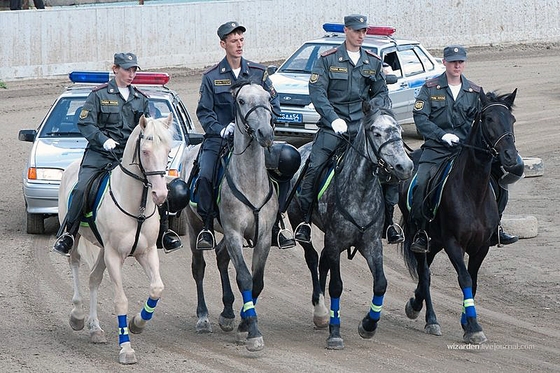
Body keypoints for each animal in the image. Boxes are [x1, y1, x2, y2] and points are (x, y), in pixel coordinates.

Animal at [57, 113, 173, 364]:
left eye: (168, 150)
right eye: (146, 151)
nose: (160, 194)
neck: (137, 206)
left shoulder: (146, 252)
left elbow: (156, 288)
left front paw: (138, 322)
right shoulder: (114, 255)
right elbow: (121, 300)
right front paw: (126, 349)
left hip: (102, 248)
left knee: (93, 279)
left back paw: (95, 329)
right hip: (76, 237)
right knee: (74, 263)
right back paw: (77, 316)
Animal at [182, 80, 278, 350]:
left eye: (268, 97)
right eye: (241, 101)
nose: (265, 134)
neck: (251, 182)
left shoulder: (264, 237)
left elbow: (258, 280)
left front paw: (245, 321)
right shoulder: (234, 233)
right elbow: (244, 278)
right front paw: (253, 332)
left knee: (221, 257)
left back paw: (227, 313)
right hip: (194, 226)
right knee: (199, 267)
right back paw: (203, 318)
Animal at [286, 99, 414, 348]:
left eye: (400, 132)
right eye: (376, 132)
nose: (405, 166)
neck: (360, 192)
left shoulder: (371, 243)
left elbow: (381, 283)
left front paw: (368, 325)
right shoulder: (336, 240)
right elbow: (336, 286)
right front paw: (335, 333)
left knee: (322, 261)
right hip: (301, 222)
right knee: (313, 258)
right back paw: (320, 311)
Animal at [398, 88, 520, 342]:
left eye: (512, 120)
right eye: (488, 119)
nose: (510, 157)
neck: (472, 192)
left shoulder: (481, 246)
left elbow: (472, 280)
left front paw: (466, 321)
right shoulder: (454, 243)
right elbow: (464, 277)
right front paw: (473, 326)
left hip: (435, 240)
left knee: (427, 270)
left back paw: (416, 303)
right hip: (419, 236)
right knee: (425, 273)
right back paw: (430, 319)